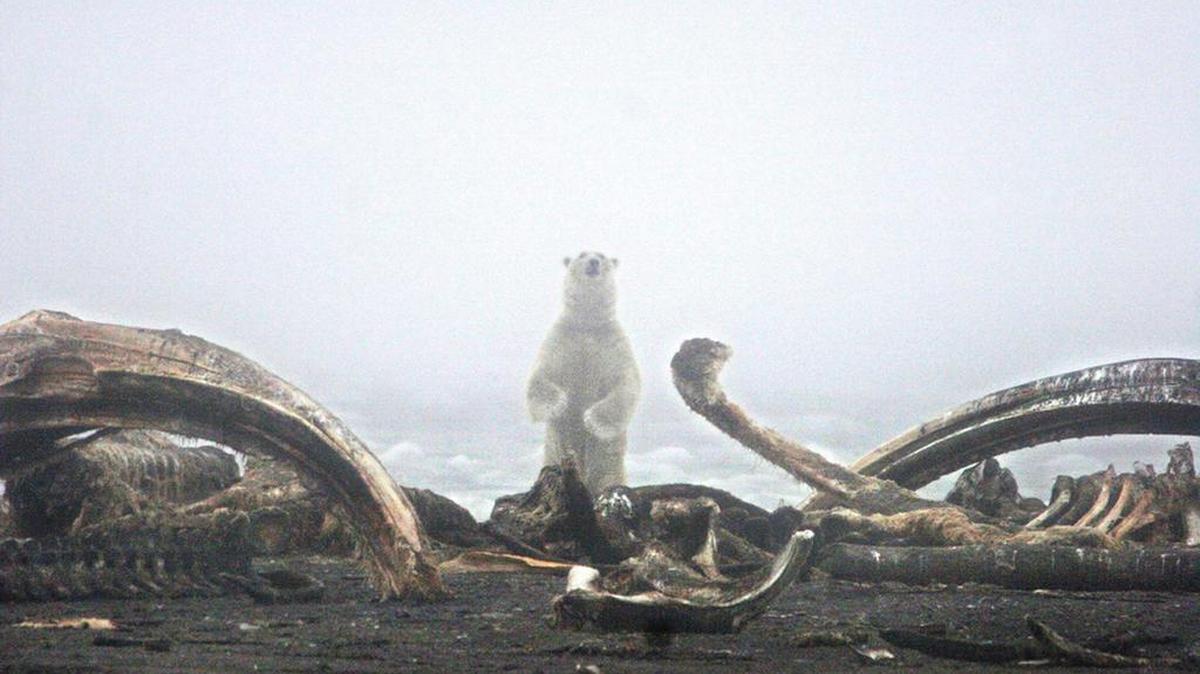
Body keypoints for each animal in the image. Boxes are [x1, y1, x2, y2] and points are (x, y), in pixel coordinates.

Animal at [527, 251, 641, 496]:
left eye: (602, 255)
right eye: (582, 254)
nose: (593, 262)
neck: (587, 324)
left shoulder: (614, 345)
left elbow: (627, 385)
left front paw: (591, 420)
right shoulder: (559, 340)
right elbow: (540, 376)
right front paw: (559, 405)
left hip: (609, 463)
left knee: (609, 477)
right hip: (552, 455)